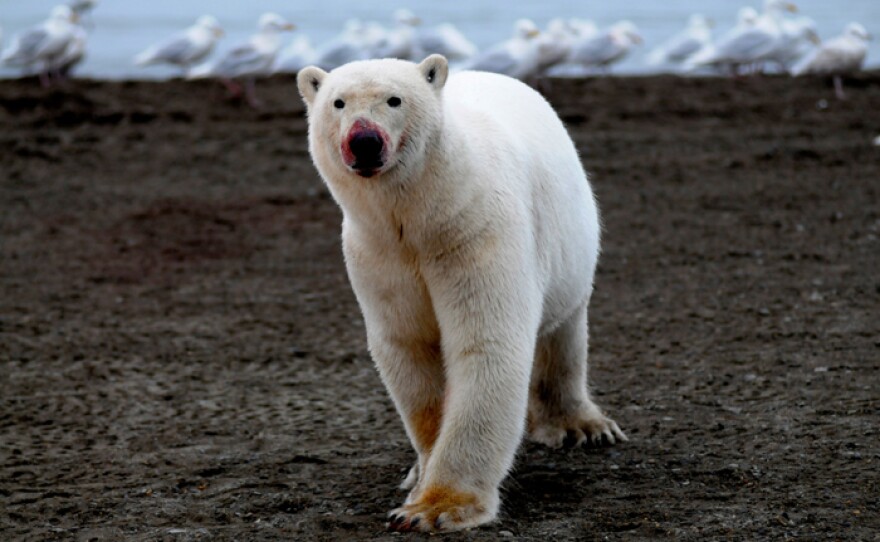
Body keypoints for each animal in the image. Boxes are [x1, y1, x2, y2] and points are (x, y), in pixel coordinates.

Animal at [296, 56, 624, 536]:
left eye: (394, 99)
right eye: (338, 102)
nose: (364, 141)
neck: (422, 217)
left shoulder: (475, 231)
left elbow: (485, 344)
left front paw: (433, 508)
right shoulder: (380, 256)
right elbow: (409, 348)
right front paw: (421, 479)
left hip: (570, 245)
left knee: (563, 330)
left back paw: (582, 426)